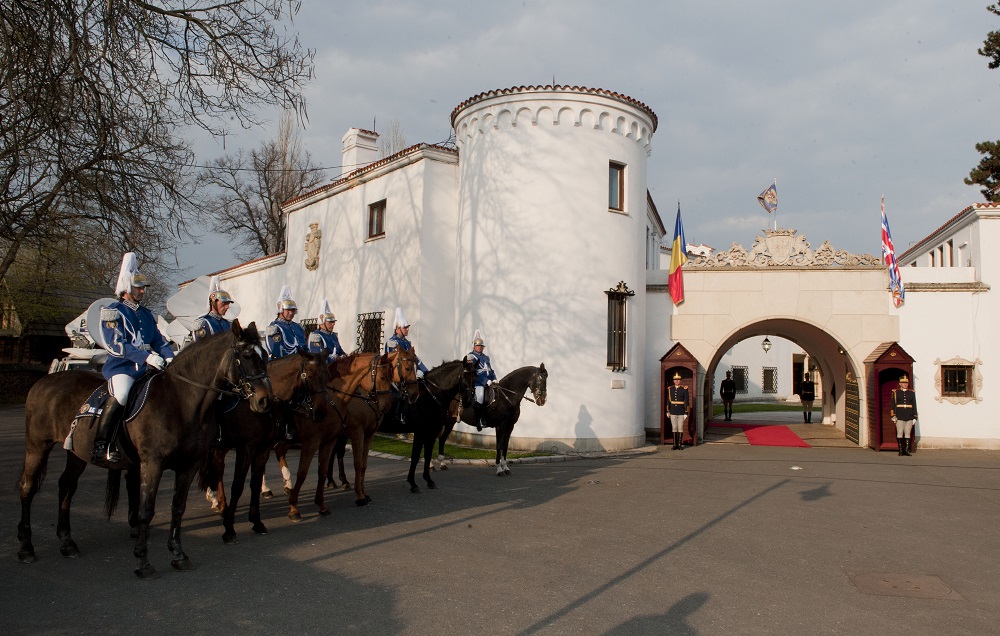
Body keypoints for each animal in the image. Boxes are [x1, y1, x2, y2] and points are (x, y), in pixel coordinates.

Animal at [18, 320, 270, 580]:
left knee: (66, 486)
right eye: (246, 355)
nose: (264, 399)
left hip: (77, 453)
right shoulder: (152, 464)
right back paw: (26, 547)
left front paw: (178, 555)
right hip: (37, 446)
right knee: (27, 488)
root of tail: (45, 381)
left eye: (264, 355)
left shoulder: (189, 466)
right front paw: (143, 561)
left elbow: (178, 508)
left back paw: (67, 542)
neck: (181, 402)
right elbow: (146, 510)